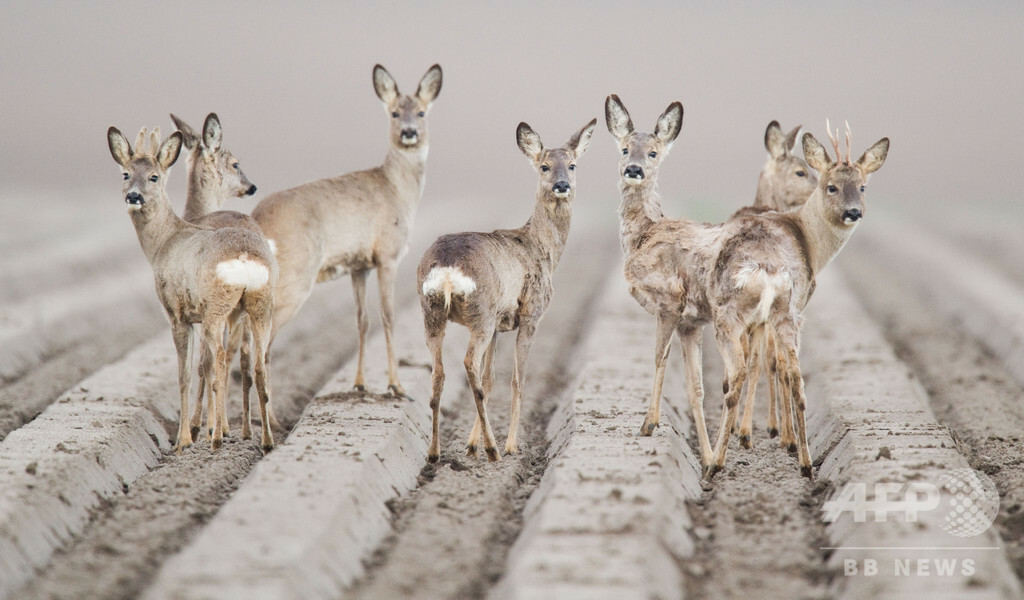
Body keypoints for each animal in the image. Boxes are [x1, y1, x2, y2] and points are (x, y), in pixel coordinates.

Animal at [105, 127, 278, 452]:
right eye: (125, 174)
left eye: (154, 177)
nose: (134, 196)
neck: (164, 242)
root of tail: (245, 257)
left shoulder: (177, 314)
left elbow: (184, 374)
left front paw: (183, 440)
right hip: (260, 306)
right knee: (257, 364)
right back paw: (266, 440)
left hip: (217, 308)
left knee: (221, 359)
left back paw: (218, 438)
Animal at [250, 64, 440, 397]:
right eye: (394, 112)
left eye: (420, 112)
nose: (409, 132)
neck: (396, 189)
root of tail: (258, 218)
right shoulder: (387, 255)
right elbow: (388, 317)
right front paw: (396, 385)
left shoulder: (359, 265)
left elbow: (362, 321)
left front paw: (360, 383)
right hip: (294, 275)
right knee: (261, 345)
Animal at [411, 119, 598, 460]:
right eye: (544, 166)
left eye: (572, 165)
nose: (562, 185)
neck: (543, 248)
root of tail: (447, 269)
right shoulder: (530, 315)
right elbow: (517, 380)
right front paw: (511, 445)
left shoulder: (500, 323)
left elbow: (491, 379)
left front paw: (470, 444)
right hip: (480, 314)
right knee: (467, 363)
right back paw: (494, 449)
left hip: (431, 312)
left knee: (439, 374)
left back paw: (434, 452)